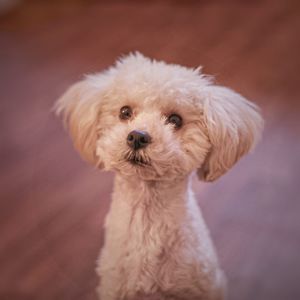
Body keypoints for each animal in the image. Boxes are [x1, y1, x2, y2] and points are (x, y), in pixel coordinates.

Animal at [55, 52, 262, 298]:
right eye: (125, 112)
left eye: (175, 120)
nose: (137, 136)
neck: (148, 225)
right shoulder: (115, 288)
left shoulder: (204, 287)